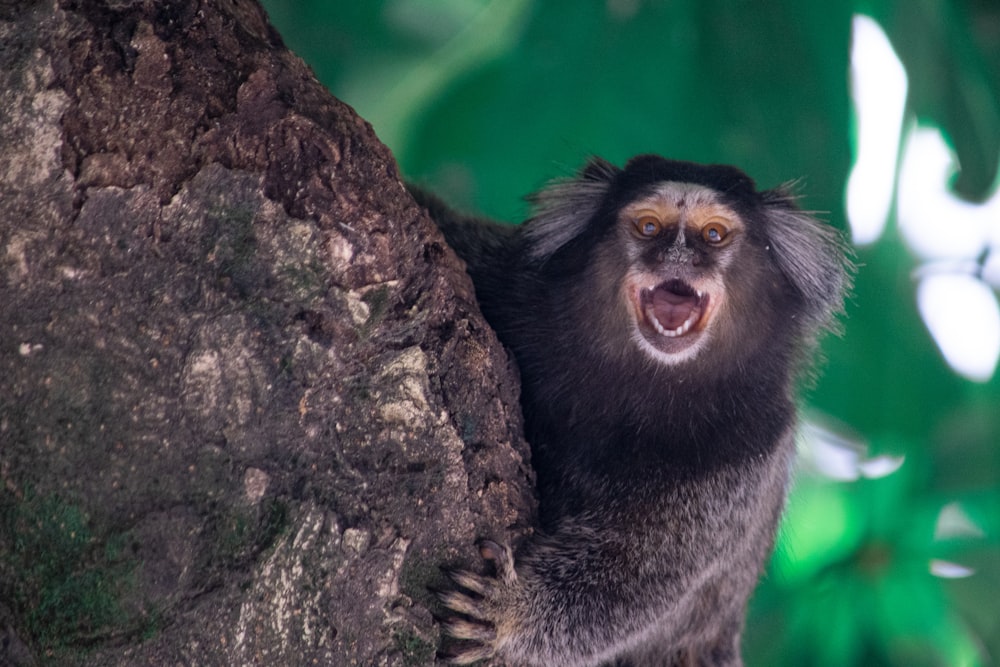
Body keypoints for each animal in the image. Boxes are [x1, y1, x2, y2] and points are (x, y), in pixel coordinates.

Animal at [410, 154, 848, 664]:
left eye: (713, 235)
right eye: (649, 226)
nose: (677, 256)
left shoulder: (752, 443)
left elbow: (638, 570)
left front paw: (510, 614)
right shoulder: (506, 280)